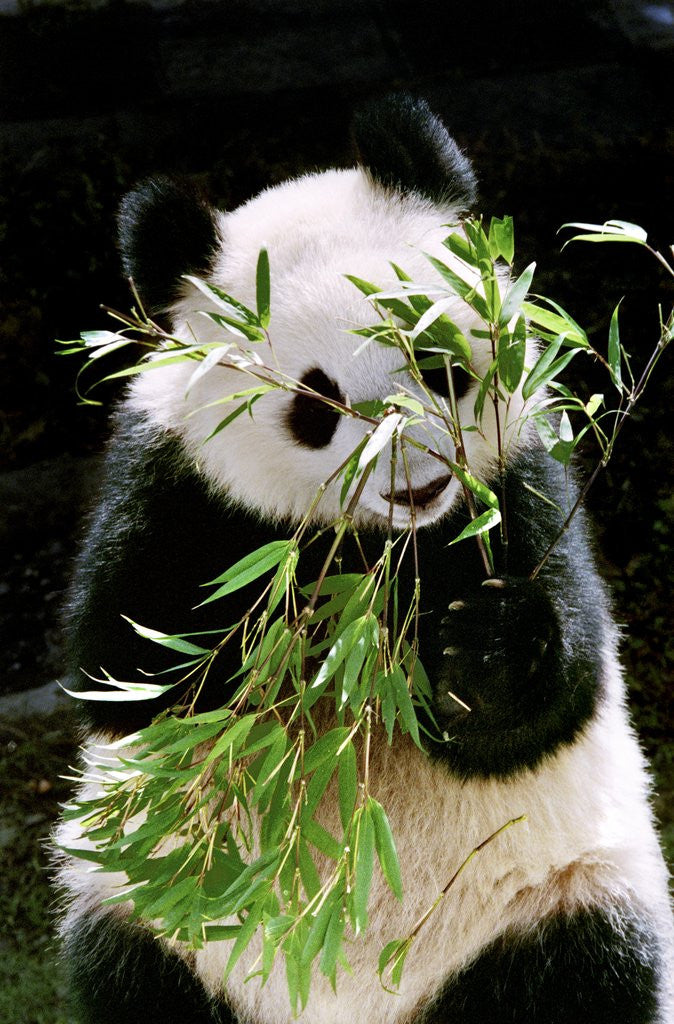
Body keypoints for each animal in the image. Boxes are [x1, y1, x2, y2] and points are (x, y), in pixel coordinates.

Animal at [55, 95, 673, 1024]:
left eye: (436, 359)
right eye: (317, 404)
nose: (417, 476)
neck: (380, 546)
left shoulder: (518, 482)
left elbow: (554, 693)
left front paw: (480, 648)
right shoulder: (168, 482)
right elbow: (135, 673)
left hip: (557, 898)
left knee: (587, 969)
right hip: (151, 916)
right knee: (129, 971)